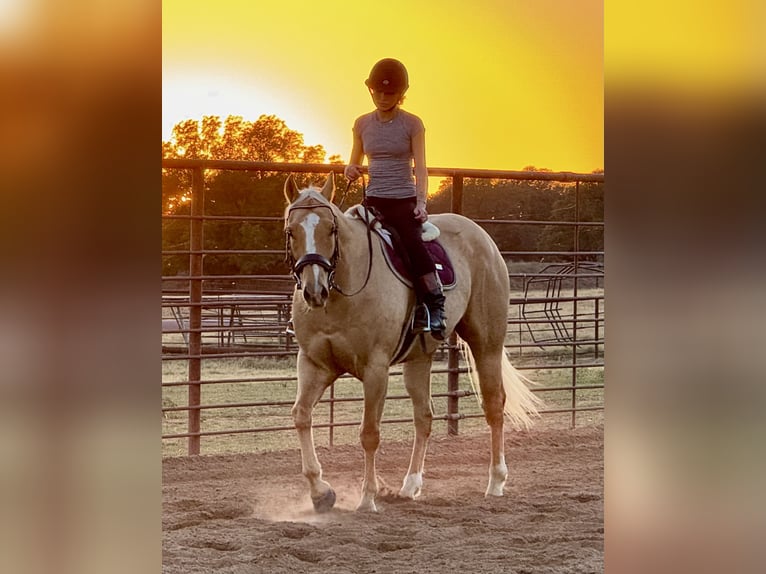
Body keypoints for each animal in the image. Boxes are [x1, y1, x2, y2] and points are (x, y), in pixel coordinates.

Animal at [283, 173, 541, 512]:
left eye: (331, 228)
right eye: (291, 231)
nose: (314, 291)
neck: (344, 291)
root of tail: (482, 237)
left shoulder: (375, 369)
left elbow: (369, 433)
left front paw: (367, 498)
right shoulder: (314, 364)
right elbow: (301, 416)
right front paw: (320, 493)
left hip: (487, 344)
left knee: (494, 404)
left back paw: (496, 481)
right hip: (419, 359)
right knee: (424, 416)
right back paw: (410, 485)